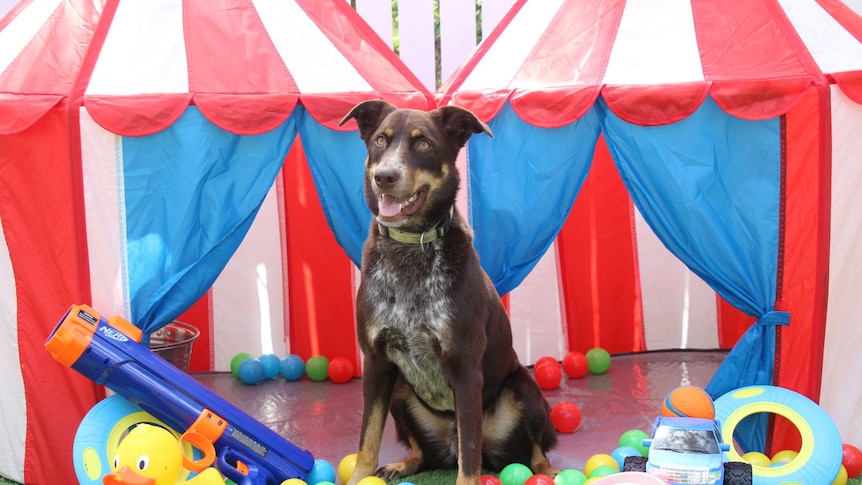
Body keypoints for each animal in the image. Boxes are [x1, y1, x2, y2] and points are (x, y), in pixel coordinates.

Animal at [338, 99, 560, 484]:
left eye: (424, 144)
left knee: (533, 453)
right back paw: (403, 464)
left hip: (524, 390)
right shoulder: (377, 362)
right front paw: (360, 476)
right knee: (424, 454)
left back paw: (552, 471)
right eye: (381, 140)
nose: (385, 176)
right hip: (400, 392)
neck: (410, 248)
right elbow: (367, 438)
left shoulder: (465, 366)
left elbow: (469, 458)